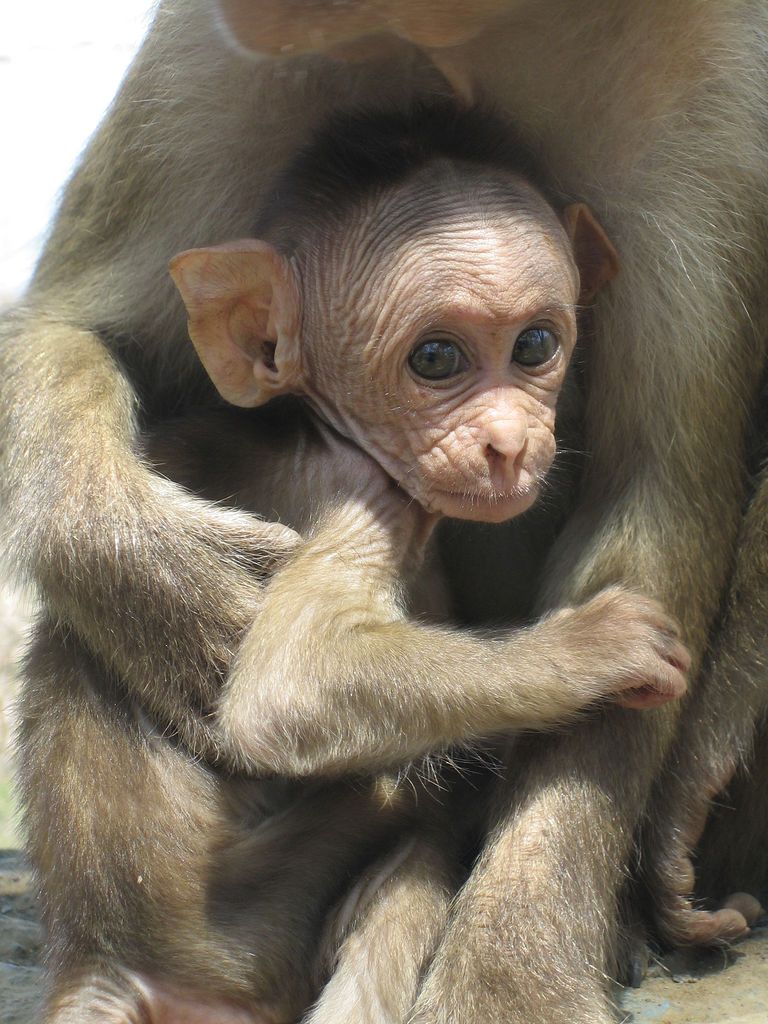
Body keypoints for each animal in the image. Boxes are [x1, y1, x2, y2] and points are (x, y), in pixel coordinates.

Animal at [2, 1, 767, 1022]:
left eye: (535, 345)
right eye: (435, 359)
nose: (508, 444)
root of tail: (106, 959)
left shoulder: (714, 82)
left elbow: (653, 489)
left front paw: (514, 963)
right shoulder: (362, 500)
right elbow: (80, 327)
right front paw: (165, 588)